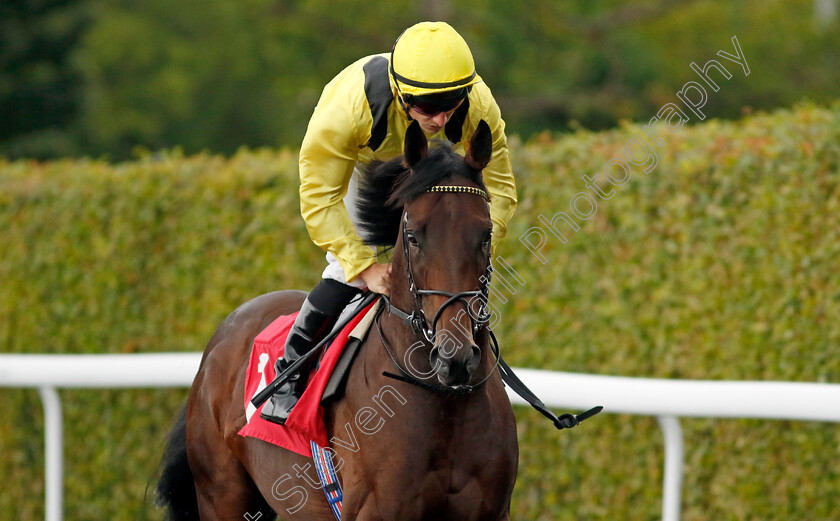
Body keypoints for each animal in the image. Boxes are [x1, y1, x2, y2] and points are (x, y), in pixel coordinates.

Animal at [154, 120, 516, 516]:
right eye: (413, 236)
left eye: (486, 234)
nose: (455, 358)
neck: (443, 404)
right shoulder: (375, 509)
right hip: (221, 495)